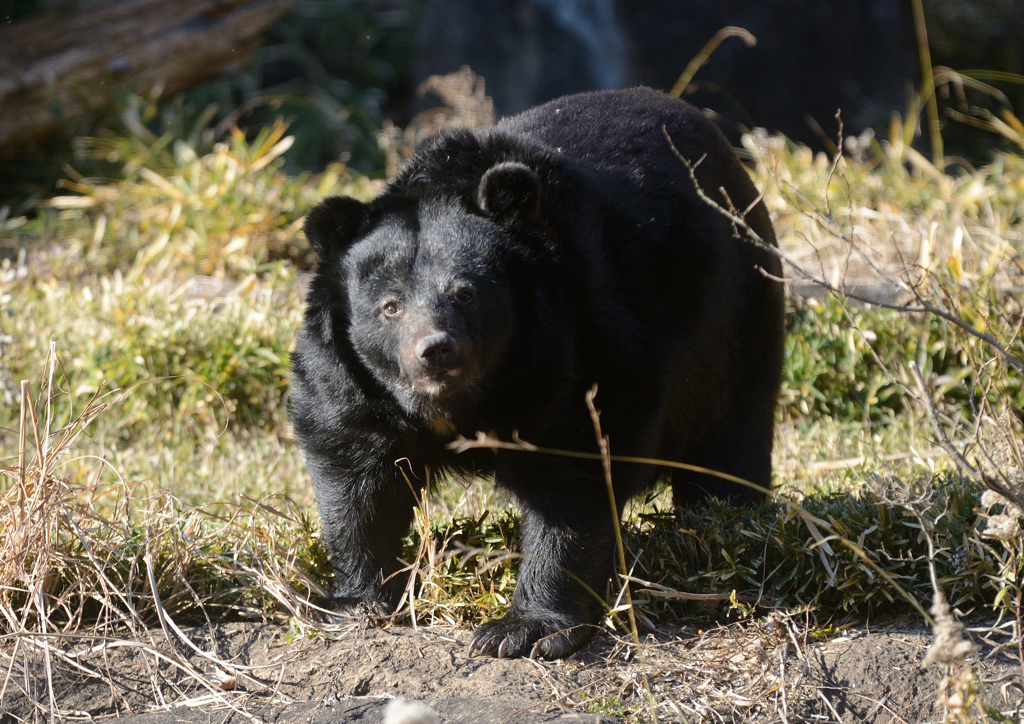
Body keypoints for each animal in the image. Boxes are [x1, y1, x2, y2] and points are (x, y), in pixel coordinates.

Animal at [288, 87, 782, 659]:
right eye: (390, 307)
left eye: (466, 294)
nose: (436, 352)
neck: (461, 403)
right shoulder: (349, 383)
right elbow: (357, 479)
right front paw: (352, 603)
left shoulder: (578, 348)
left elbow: (574, 481)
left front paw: (522, 632)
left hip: (738, 319)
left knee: (728, 442)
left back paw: (726, 524)